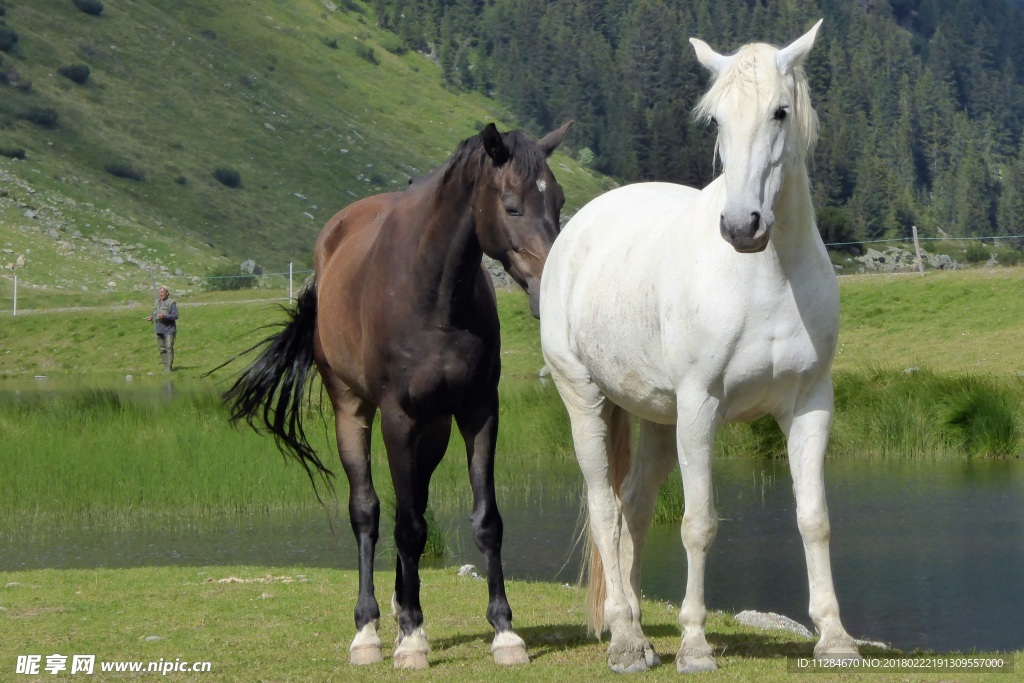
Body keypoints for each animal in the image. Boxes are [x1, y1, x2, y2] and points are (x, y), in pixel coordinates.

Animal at [224, 121, 573, 667]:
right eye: (512, 204)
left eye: (558, 201)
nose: (551, 288)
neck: (434, 298)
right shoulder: (397, 418)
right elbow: (402, 525)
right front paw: (410, 639)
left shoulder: (478, 412)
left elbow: (484, 521)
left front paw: (503, 631)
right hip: (355, 412)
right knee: (368, 512)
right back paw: (369, 628)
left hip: (433, 432)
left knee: (415, 506)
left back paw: (401, 606)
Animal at [540, 20, 860, 671]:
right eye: (716, 120)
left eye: (780, 111)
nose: (742, 226)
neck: (766, 277)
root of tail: (578, 227)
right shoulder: (700, 408)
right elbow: (698, 524)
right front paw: (694, 644)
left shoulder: (811, 405)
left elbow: (813, 518)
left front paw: (835, 637)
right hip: (586, 400)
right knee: (604, 506)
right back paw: (627, 640)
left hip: (658, 420)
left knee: (634, 505)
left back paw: (635, 629)